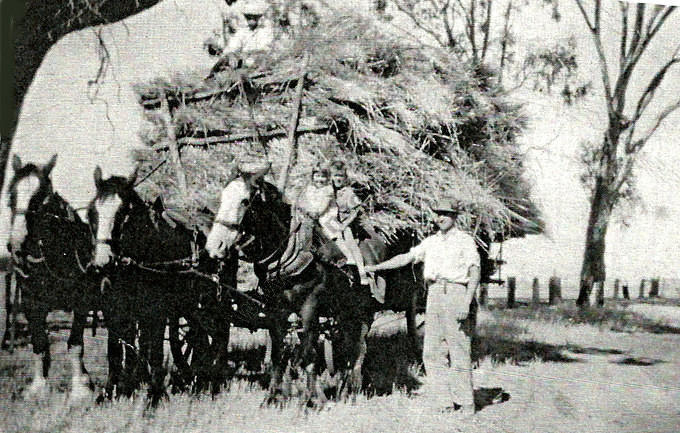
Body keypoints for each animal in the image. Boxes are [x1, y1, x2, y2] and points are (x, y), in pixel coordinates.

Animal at [5, 154, 97, 404]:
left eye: (40, 200)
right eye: (11, 195)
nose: (16, 245)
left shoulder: (82, 303)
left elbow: (75, 344)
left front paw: (80, 390)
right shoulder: (31, 303)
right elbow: (39, 343)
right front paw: (38, 388)